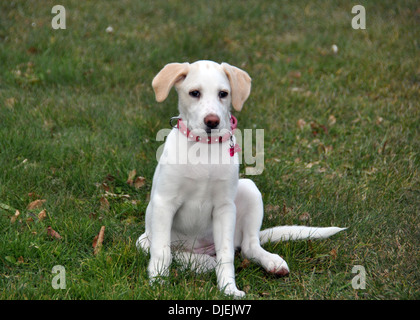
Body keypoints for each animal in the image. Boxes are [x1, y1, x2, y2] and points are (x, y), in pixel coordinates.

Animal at [138, 60, 344, 298]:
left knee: (247, 247)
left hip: (249, 189)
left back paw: (271, 262)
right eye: (194, 93)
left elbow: (227, 255)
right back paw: (201, 262)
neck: (204, 148)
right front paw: (158, 284)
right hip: (145, 239)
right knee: (175, 252)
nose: (212, 121)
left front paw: (229, 289)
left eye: (223, 93)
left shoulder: (224, 208)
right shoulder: (164, 203)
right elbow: (162, 251)